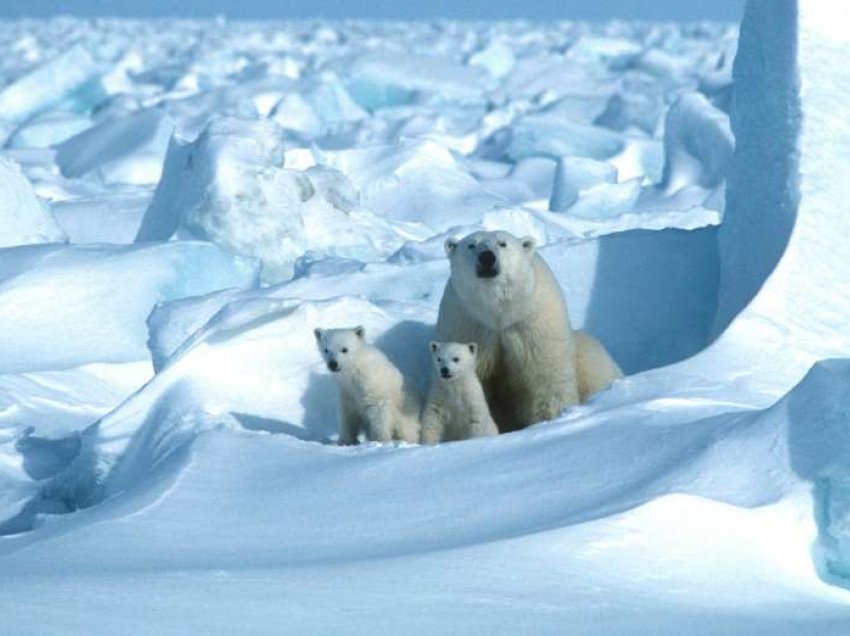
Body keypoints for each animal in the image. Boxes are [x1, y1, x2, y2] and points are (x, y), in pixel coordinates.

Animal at [434, 231, 620, 434]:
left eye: (503, 243)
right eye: (471, 245)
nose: (487, 257)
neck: (499, 313)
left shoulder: (532, 323)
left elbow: (546, 376)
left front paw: (550, 419)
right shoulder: (468, 324)